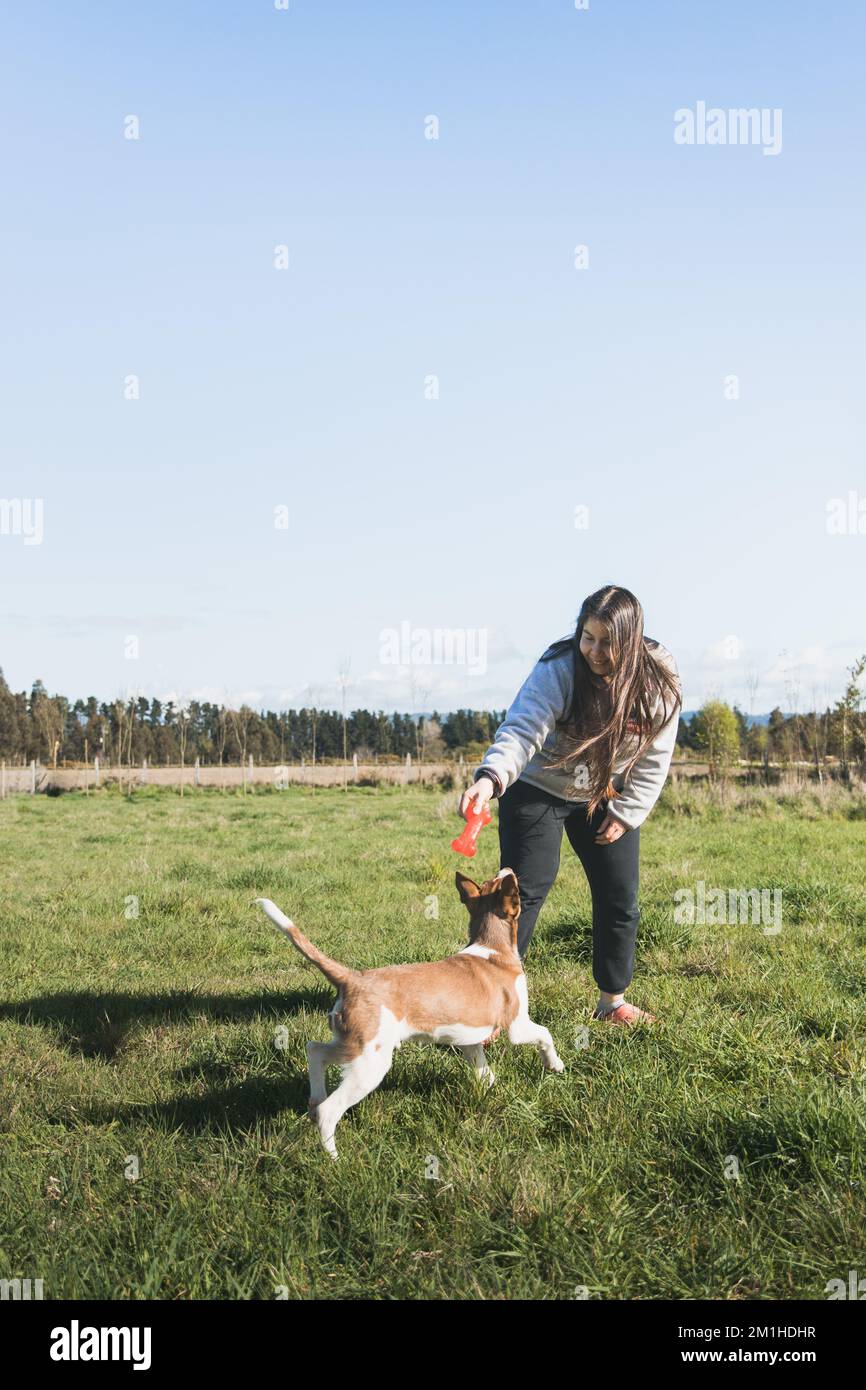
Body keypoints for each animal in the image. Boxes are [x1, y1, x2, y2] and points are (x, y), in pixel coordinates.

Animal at [255, 872, 569, 1156]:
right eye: (504, 879)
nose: (509, 870)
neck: (492, 948)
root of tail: (351, 979)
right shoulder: (517, 1026)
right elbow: (545, 1034)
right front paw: (555, 1064)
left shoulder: (469, 1041)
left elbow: (483, 1070)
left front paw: (491, 1089)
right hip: (370, 1064)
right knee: (329, 1110)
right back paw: (334, 1159)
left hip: (355, 1046)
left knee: (315, 1050)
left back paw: (315, 1098)